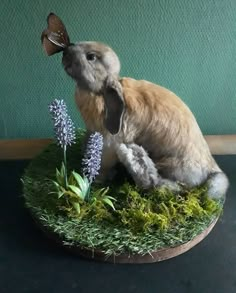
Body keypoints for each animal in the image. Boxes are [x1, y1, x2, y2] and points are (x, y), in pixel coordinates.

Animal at [42, 14, 229, 200]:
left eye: (91, 57)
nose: (66, 50)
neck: (100, 93)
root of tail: (212, 169)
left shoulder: (110, 142)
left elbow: (104, 163)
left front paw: (95, 180)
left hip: (170, 165)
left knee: (166, 185)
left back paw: (134, 160)